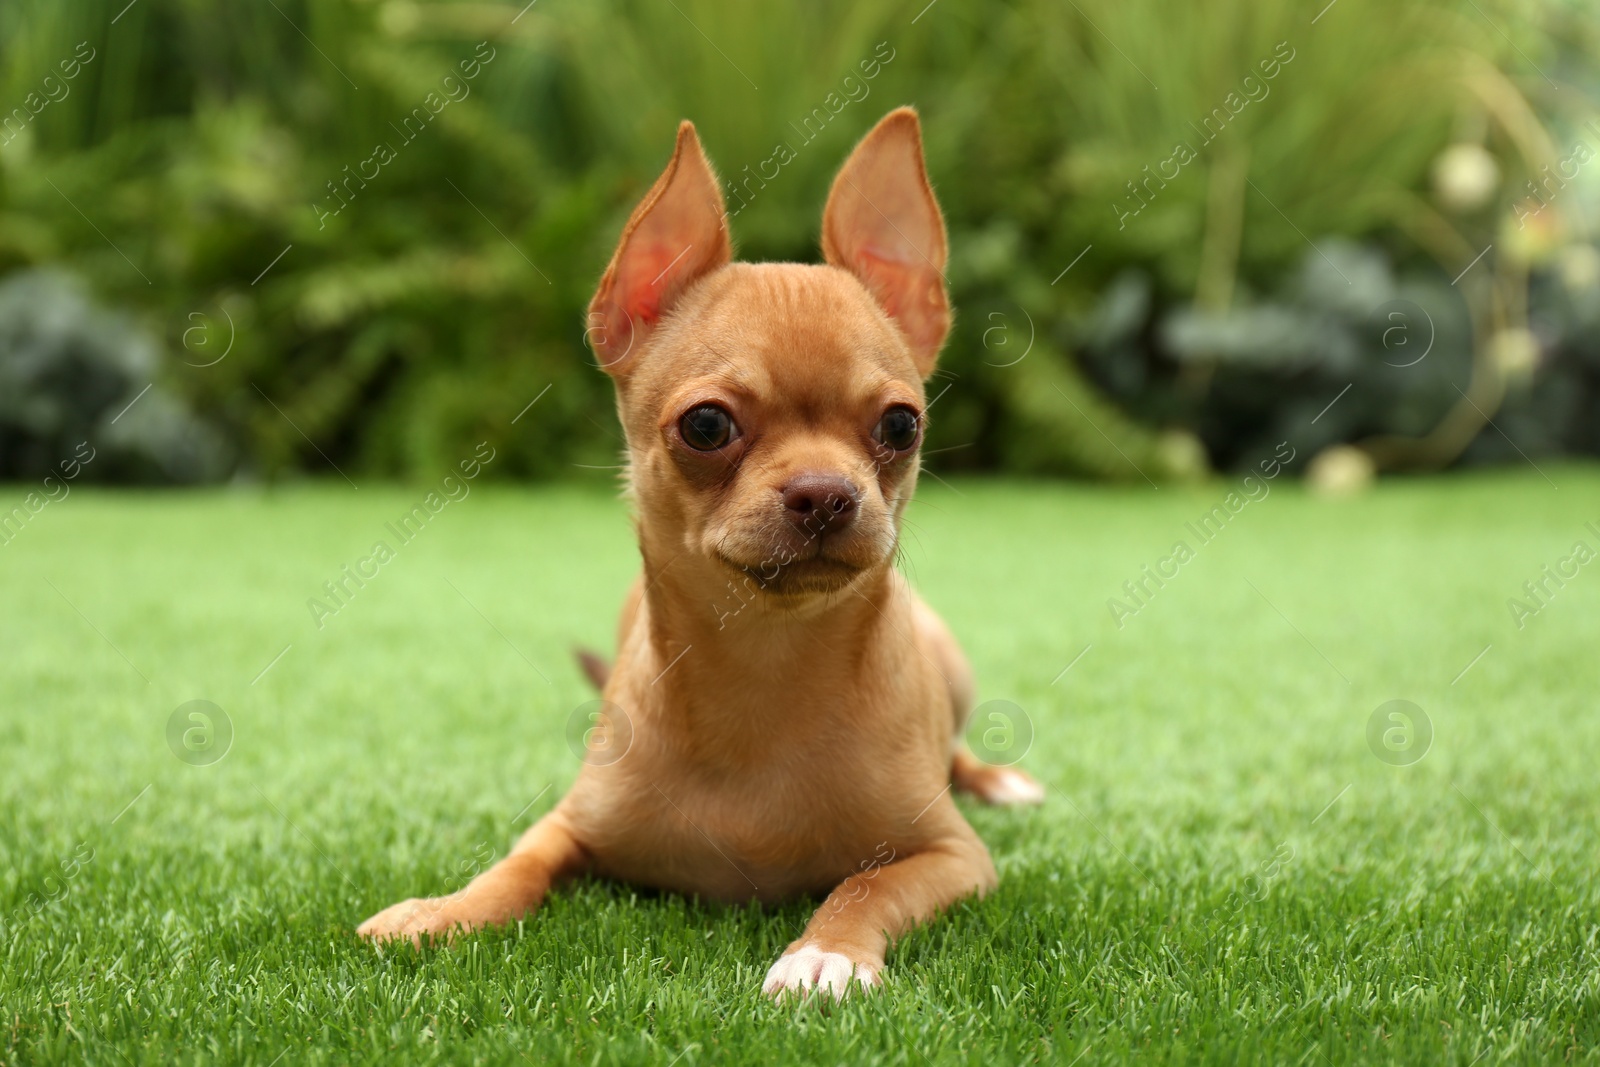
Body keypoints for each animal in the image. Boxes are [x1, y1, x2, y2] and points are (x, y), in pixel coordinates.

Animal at [356, 103, 1043, 998]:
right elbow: (515, 864)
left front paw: (825, 952)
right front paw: (446, 910)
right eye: (708, 425)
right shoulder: (569, 824)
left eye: (901, 425)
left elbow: (866, 883)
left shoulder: (952, 855)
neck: (763, 663)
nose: (826, 492)